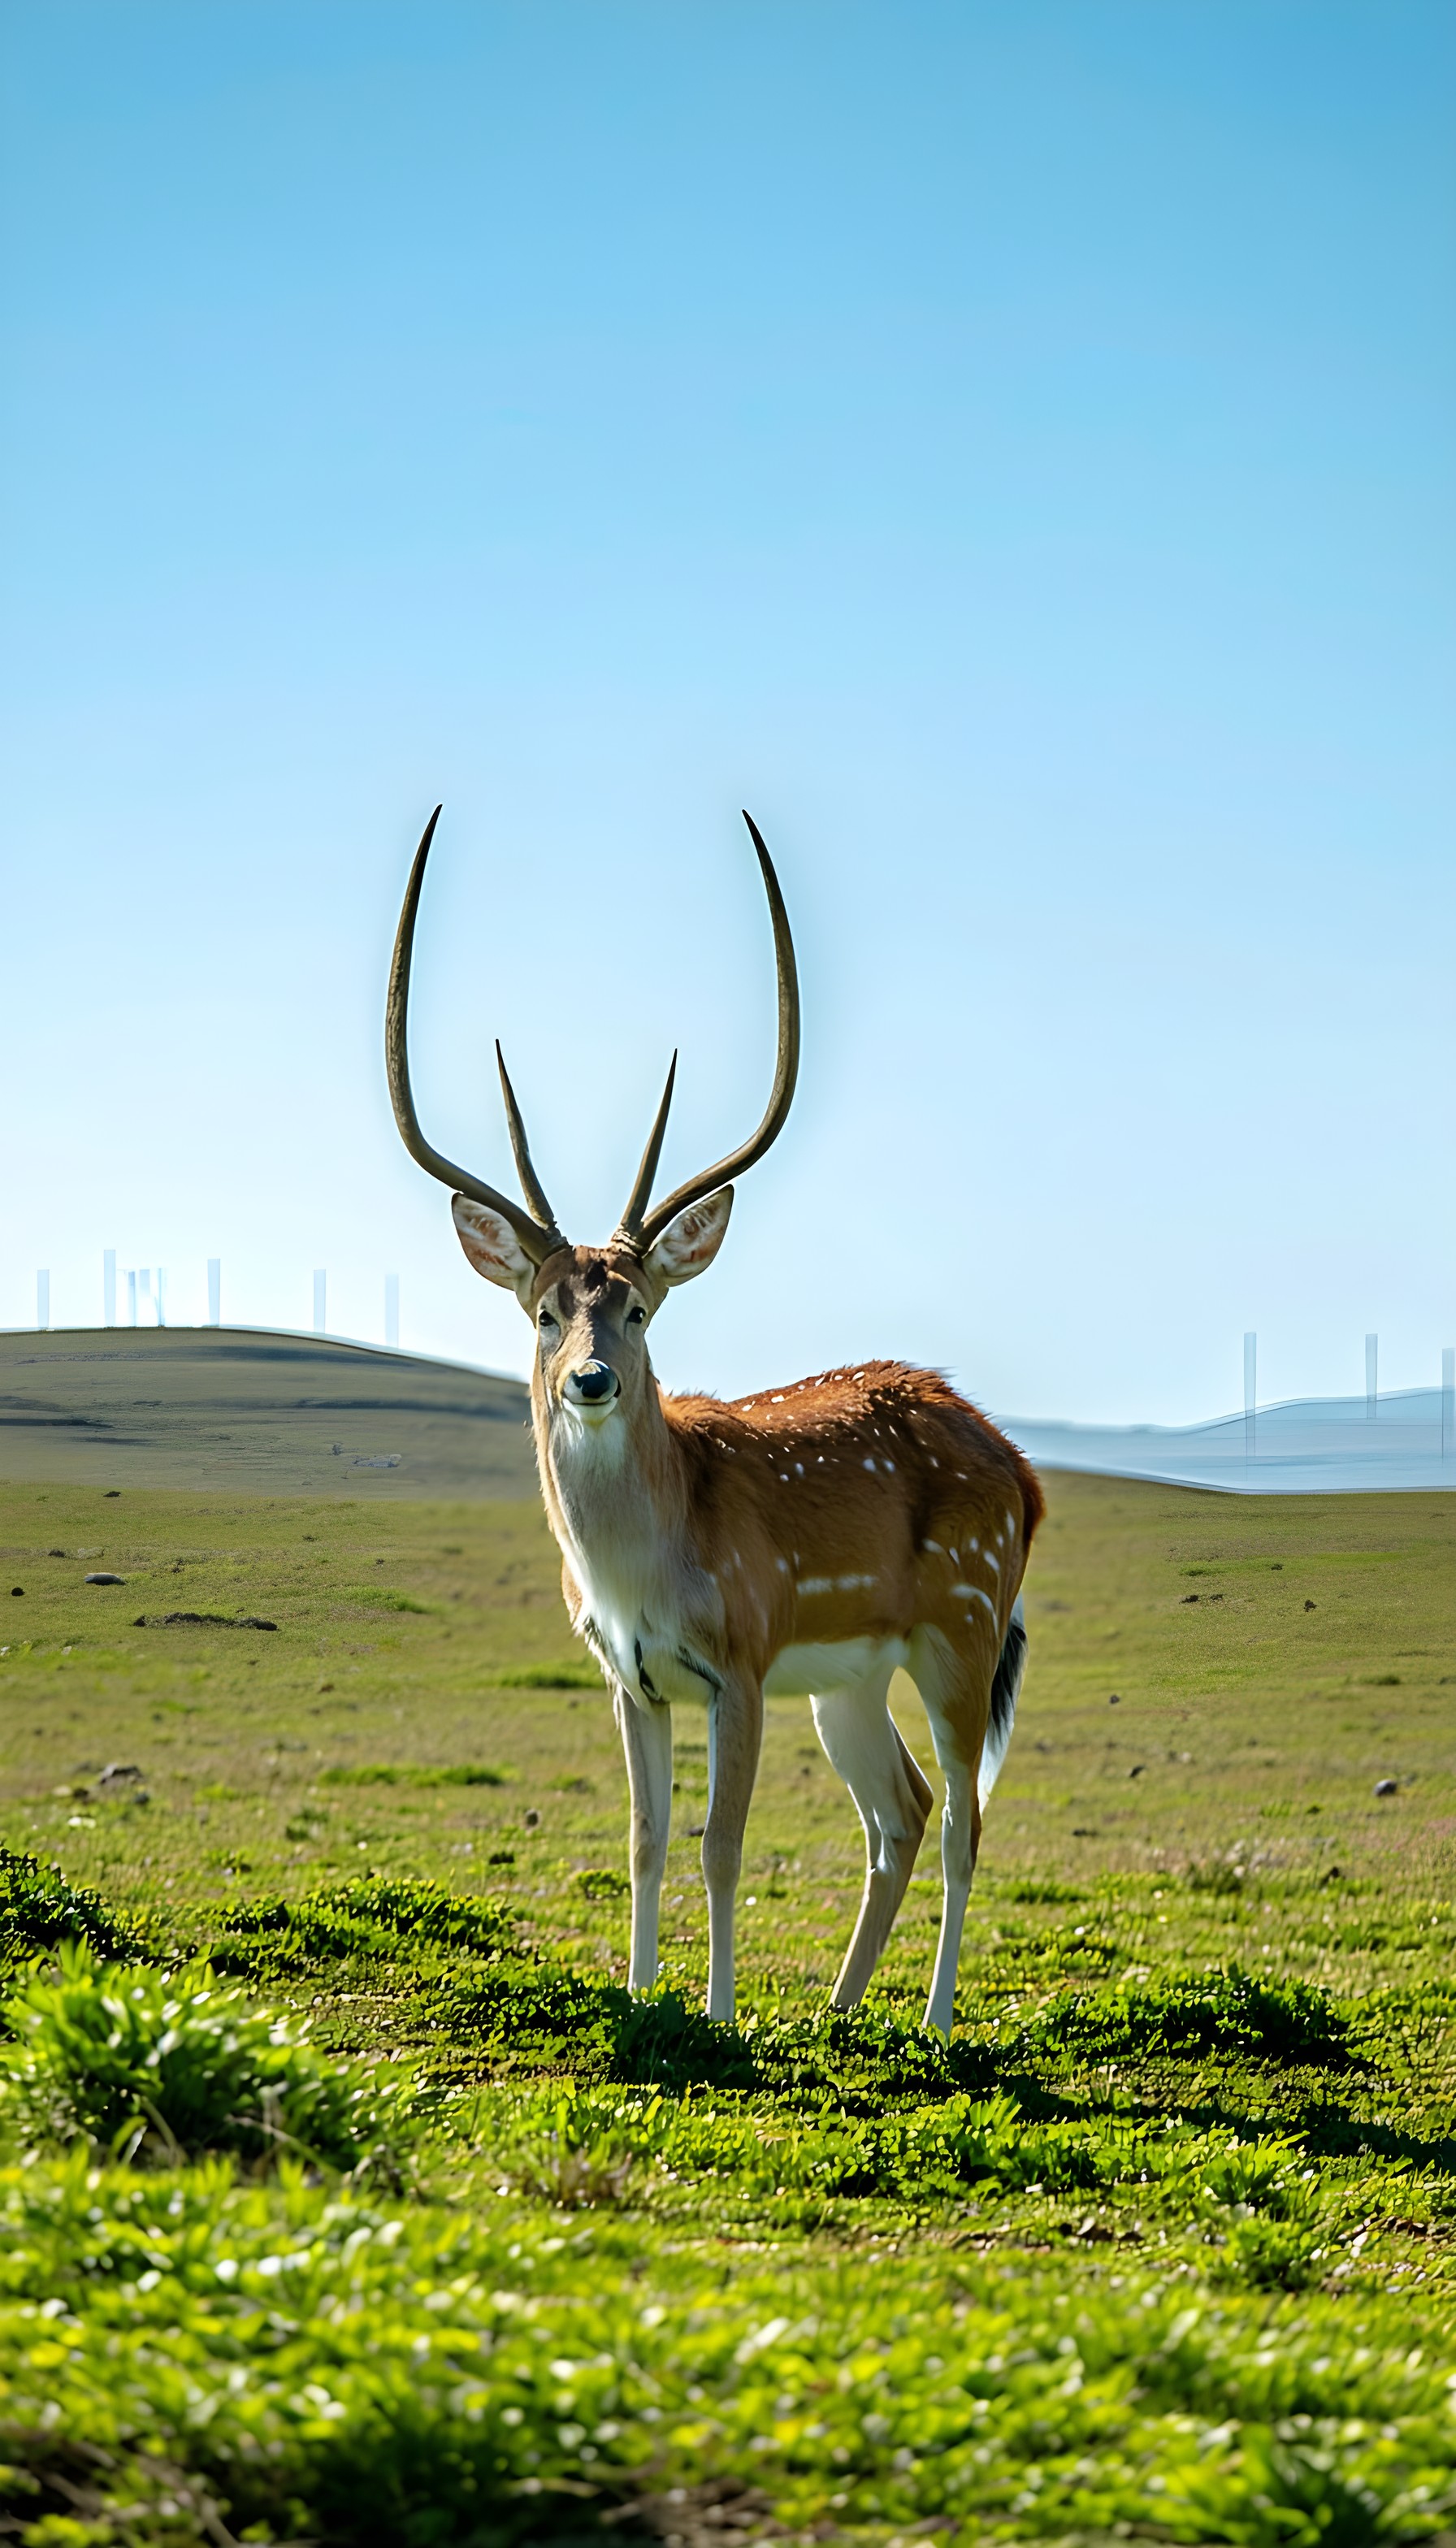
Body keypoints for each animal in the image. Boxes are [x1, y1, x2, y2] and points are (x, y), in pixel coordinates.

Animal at [386, 806, 1042, 2034]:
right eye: (546, 1310)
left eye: (638, 1306)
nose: (593, 1380)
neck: (636, 1572)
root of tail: (1019, 1469)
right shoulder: (628, 1676)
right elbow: (644, 1843)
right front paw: (644, 1998)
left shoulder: (741, 1654)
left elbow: (720, 1849)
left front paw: (721, 2016)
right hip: (850, 1676)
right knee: (903, 1810)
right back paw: (837, 2015)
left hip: (963, 1629)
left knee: (965, 1817)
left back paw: (934, 2025)